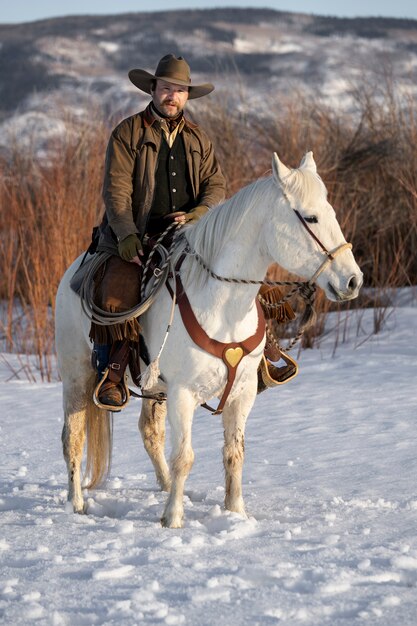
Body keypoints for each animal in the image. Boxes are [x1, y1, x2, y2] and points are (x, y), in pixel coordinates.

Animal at [54, 152, 360, 528]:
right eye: (311, 217)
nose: (352, 281)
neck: (222, 305)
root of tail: (74, 272)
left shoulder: (242, 393)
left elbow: (234, 453)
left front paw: (235, 512)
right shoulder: (183, 393)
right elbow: (185, 456)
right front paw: (173, 519)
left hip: (155, 391)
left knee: (150, 433)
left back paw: (165, 487)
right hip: (78, 375)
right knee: (73, 437)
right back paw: (77, 504)